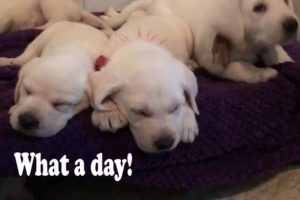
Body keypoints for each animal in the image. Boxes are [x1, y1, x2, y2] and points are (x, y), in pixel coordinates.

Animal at [91, 16, 199, 153]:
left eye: (175, 108)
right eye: (140, 112)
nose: (165, 143)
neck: (139, 49)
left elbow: (189, 96)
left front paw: (187, 120)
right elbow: (98, 93)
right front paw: (108, 113)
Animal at [102, 0, 298, 83]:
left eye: (286, 1)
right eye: (259, 7)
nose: (294, 24)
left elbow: (274, 50)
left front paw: (284, 59)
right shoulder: (216, 63)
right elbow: (240, 68)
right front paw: (262, 73)